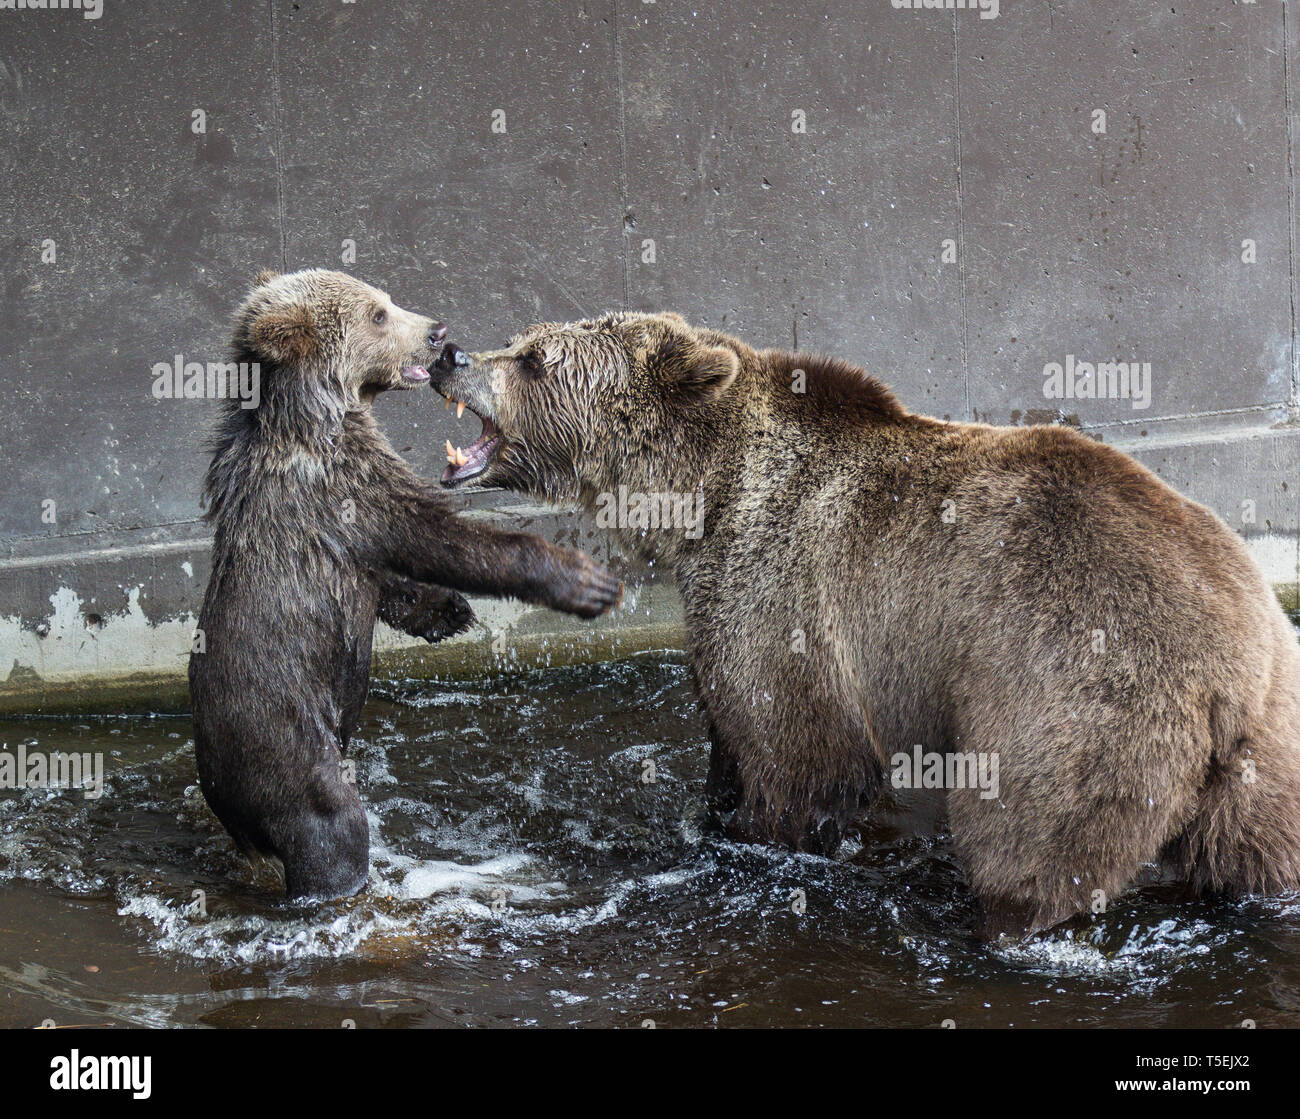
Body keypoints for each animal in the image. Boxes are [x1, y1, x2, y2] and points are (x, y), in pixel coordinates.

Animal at [188, 270, 622, 901]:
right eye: (377, 314)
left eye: (385, 300)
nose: (437, 332)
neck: (318, 413)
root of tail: (228, 804)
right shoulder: (347, 485)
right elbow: (439, 538)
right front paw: (582, 580)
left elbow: (393, 577)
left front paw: (447, 611)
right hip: (283, 745)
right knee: (330, 825)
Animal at [429, 311, 1300, 940]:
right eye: (524, 340)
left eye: (535, 359)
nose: (449, 354)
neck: (703, 496)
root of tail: (1229, 671)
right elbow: (729, 735)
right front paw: (706, 823)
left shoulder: (784, 595)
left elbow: (793, 759)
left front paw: (755, 841)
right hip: (1267, 742)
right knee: (1259, 849)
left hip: (1076, 693)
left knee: (1030, 842)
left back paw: (997, 924)